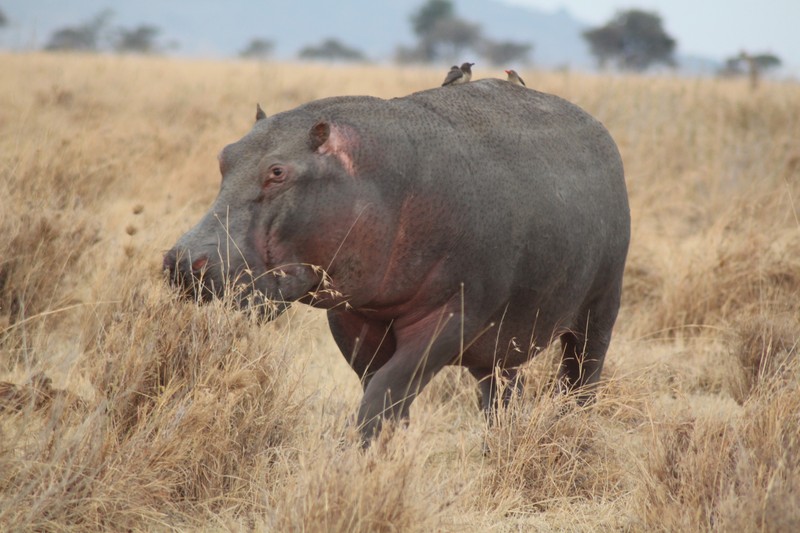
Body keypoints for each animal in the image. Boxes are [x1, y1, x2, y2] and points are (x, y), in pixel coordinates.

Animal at [164, 78, 632, 436]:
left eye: (278, 172)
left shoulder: (451, 318)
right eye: (224, 156)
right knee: (500, 392)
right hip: (504, 338)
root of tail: (602, 132)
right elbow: (379, 387)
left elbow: (387, 389)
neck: (376, 177)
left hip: (600, 307)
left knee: (582, 376)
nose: (183, 262)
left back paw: (573, 429)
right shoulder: (352, 316)